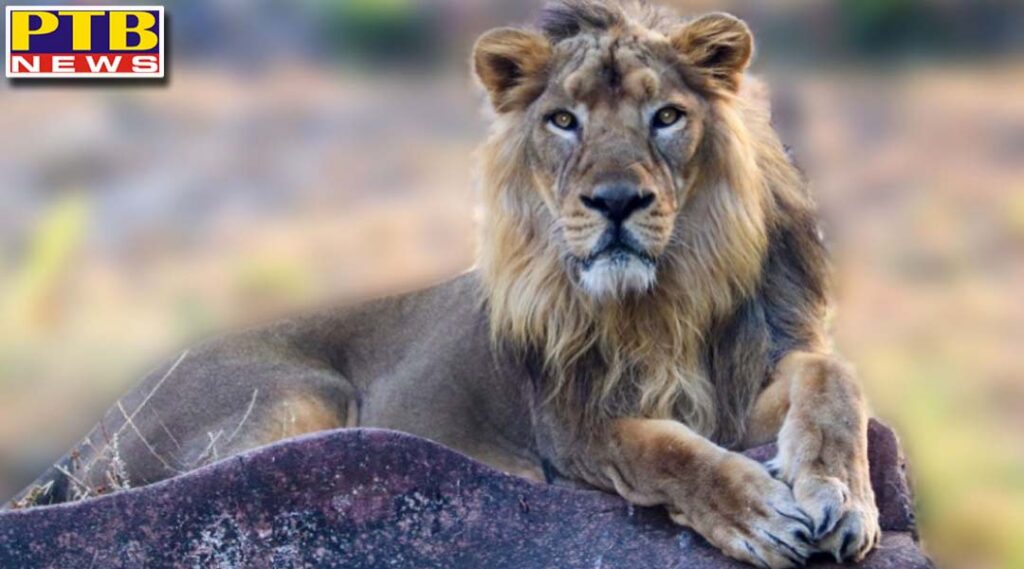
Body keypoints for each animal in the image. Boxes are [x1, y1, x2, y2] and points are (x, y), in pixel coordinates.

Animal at [6, 1, 880, 566]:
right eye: (563, 121)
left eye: (666, 116)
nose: (615, 201)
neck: (666, 296)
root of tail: (94, 424)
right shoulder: (570, 421)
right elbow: (661, 447)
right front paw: (757, 513)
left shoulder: (753, 371)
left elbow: (833, 379)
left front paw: (839, 496)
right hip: (299, 396)